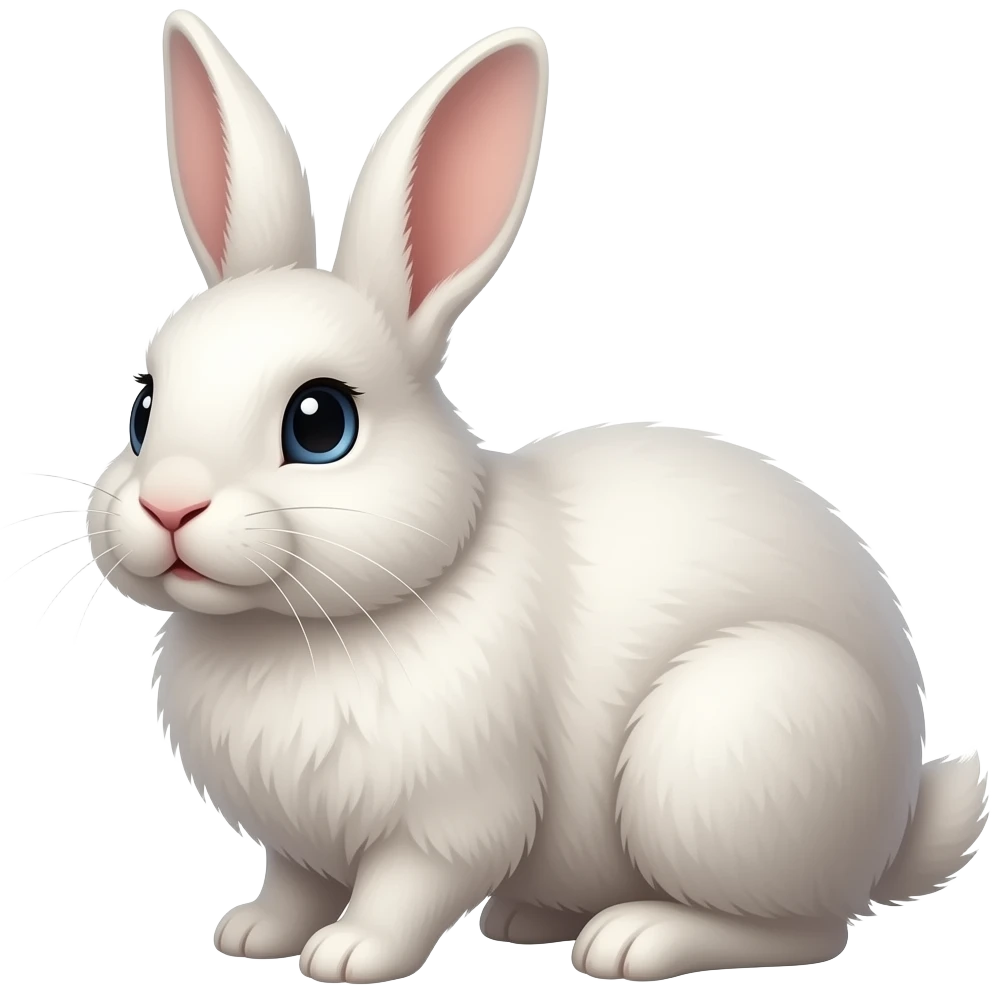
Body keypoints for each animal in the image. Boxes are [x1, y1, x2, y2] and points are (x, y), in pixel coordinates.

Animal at [73, 9, 986, 984]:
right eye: (142, 408)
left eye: (320, 423)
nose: (170, 507)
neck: (297, 631)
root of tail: (893, 824)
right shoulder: (297, 842)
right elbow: (292, 883)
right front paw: (250, 935)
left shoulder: (453, 816)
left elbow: (406, 888)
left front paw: (350, 955)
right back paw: (529, 917)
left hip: (725, 749)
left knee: (808, 930)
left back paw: (633, 939)